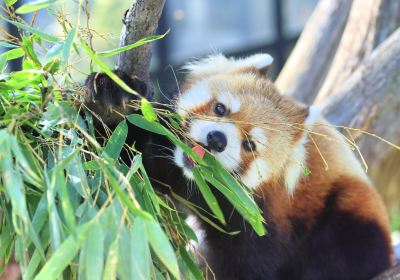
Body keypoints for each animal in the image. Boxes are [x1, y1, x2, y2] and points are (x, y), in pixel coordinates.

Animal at [83, 53, 392, 278]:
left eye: (250, 145)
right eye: (220, 109)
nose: (217, 139)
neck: (200, 184)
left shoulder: (264, 219)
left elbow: (248, 264)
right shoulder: (164, 158)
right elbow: (114, 157)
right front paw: (112, 96)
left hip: (348, 214)